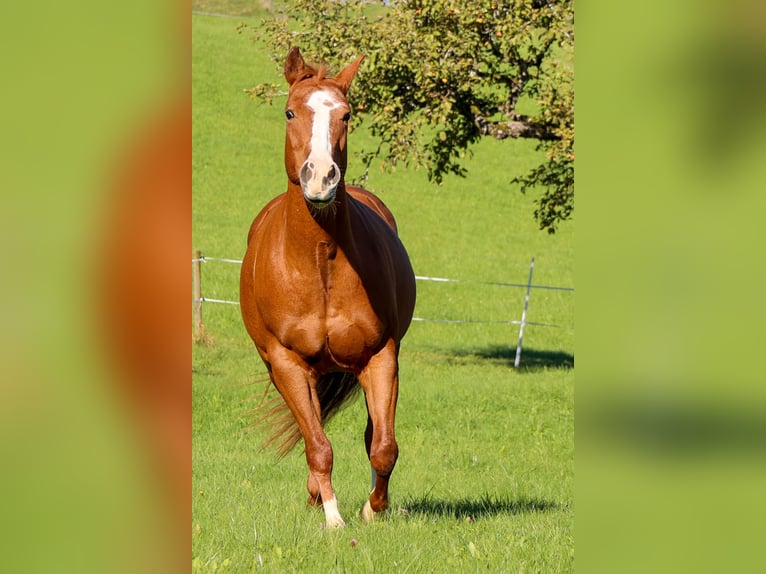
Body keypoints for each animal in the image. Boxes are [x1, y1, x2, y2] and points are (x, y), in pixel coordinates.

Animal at [242, 47, 416, 528]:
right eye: (289, 112)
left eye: (347, 115)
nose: (320, 177)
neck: (320, 261)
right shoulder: (287, 364)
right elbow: (318, 445)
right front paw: (333, 519)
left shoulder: (381, 356)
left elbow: (383, 447)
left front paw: (373, 509)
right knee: (313, 435)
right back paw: (317, 496)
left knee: (372, 434)